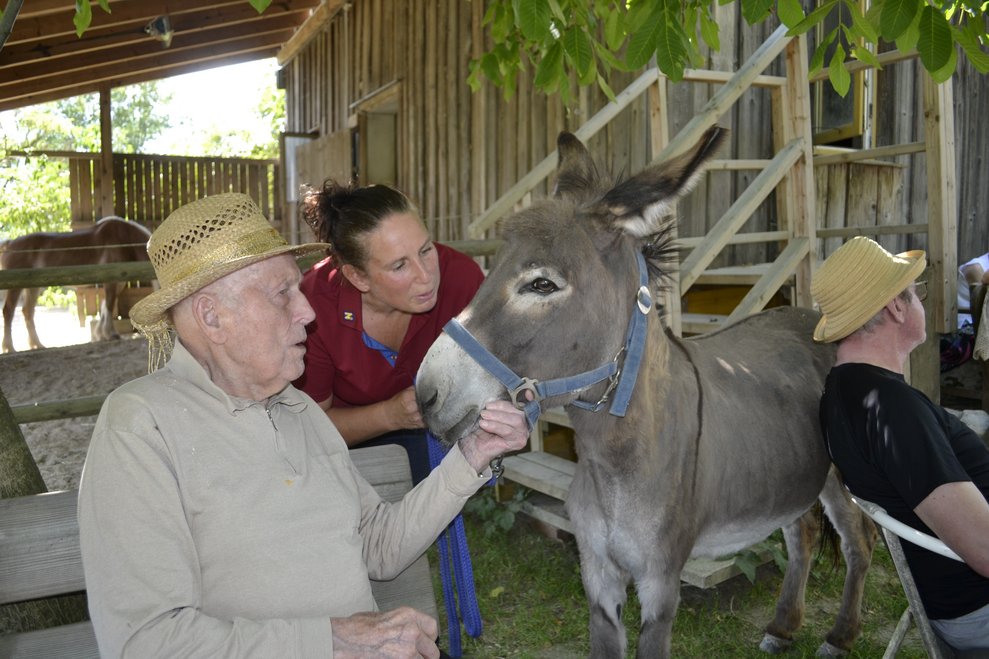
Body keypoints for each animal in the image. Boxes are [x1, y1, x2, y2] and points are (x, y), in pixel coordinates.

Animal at [1, 217, 153, 353]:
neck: (124, 238)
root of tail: (10, 244)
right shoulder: (110, 283)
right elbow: (109, 306)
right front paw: (110, 334)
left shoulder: (118, 283)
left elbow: (104, 307)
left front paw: (100, 335)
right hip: (16, 288)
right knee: (8, 311)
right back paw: (9, 347)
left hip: (33, 288)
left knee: (28, 311)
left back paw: (37, 345)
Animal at [415, 127, 878, 658]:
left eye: (542, 283)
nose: (424, 393)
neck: (617, 460)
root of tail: (817, 319)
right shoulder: (597, 577)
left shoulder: (660, 584)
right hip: (791, 474)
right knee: (802, 532)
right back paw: (783, 627)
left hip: (842, 475)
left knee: (859, 537)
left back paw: (840, 636)